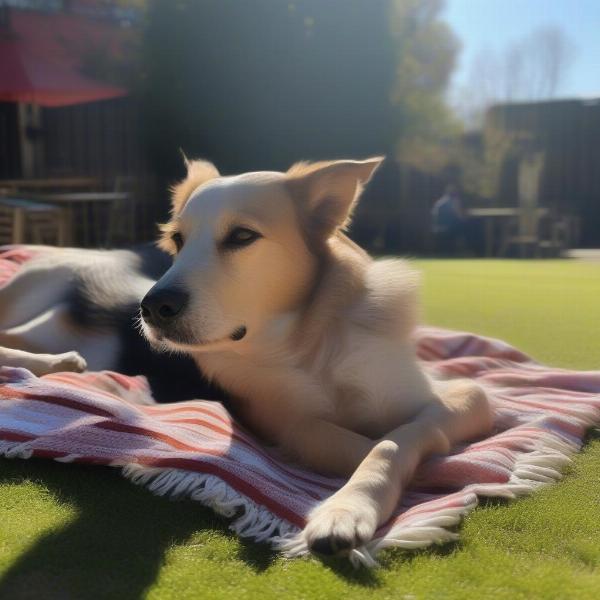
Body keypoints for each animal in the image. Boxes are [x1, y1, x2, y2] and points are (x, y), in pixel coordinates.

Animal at [139, 157, 492, 556]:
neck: (310, 346)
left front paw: (350, 505)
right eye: (177, 240)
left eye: (242, 236)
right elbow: (335, 435)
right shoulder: (282, 422)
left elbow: (396, 439)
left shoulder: (465, 394)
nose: (154, 307)